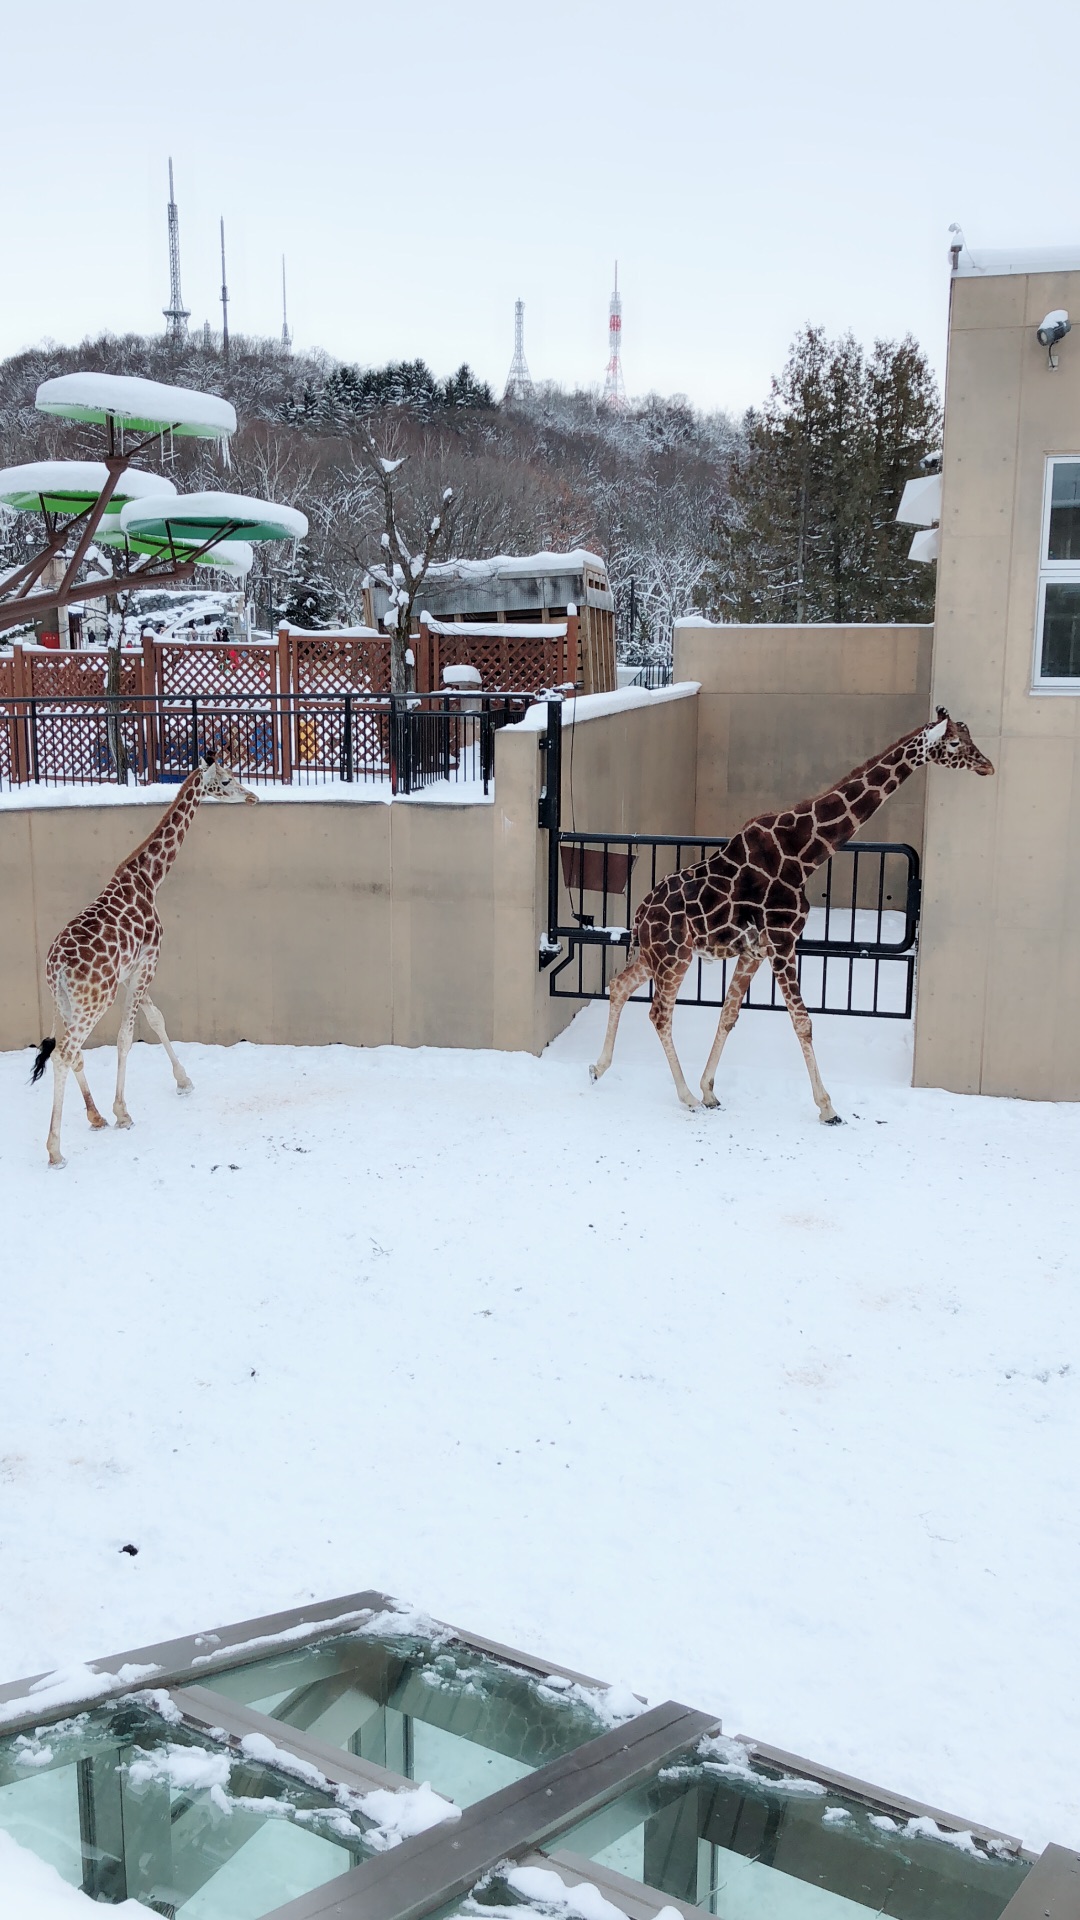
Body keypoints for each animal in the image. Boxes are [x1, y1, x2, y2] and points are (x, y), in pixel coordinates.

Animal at [32, 756, 255, 1159]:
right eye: (228, 779)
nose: (252, 796)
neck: (150, 878)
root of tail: (54, 969)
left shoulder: (132, 970)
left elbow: (156, 1018)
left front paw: (183, 1081)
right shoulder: (149, 962)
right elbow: (127, 1036)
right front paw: (123, 1113)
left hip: (66, 1002)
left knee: (71, 1052)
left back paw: (94, 1116)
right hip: (93, 1001)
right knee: (64, 1053)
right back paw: (56, 1150)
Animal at [588, 714, 991, 1121]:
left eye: (969, 735)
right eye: (954, 744)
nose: (987, 766)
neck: (803, 855)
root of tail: (640, 912)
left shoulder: (756, 950)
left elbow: (729, 1014)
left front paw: (710, 1090)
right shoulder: (783, 940)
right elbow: (802, 1021)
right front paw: (827, 1107)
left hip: (656, 955)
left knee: (619, 985)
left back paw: (598, 1068)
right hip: (673, 956)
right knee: (659, 1013)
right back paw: (684, 1096)